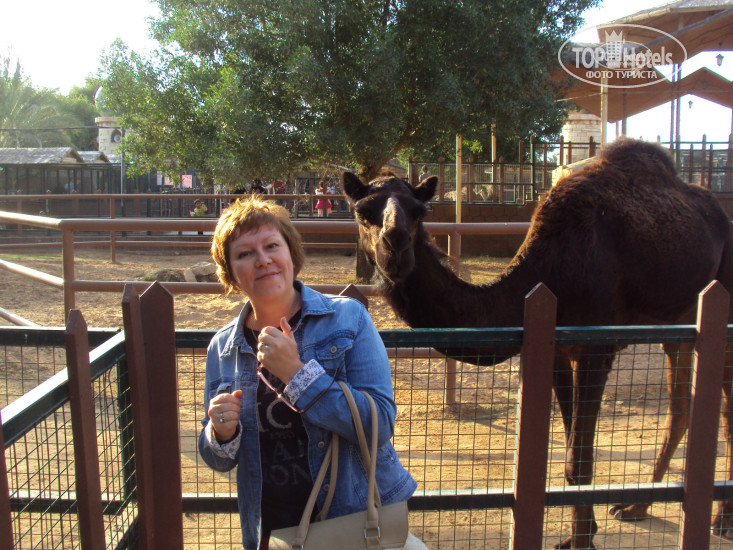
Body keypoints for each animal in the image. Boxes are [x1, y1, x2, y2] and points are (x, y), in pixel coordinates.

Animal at [343, 138, 733, 549]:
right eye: (362, 212)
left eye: (419, 212)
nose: (396, 245)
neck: (549, 272)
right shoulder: (559, 348)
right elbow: (572, 448)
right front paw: (583, 533)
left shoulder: (597, 346)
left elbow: (579, 460)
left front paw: (582, 540)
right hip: (679, 323)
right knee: (681, 407)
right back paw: (635, 508)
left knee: (725, 407)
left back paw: (721, 520)